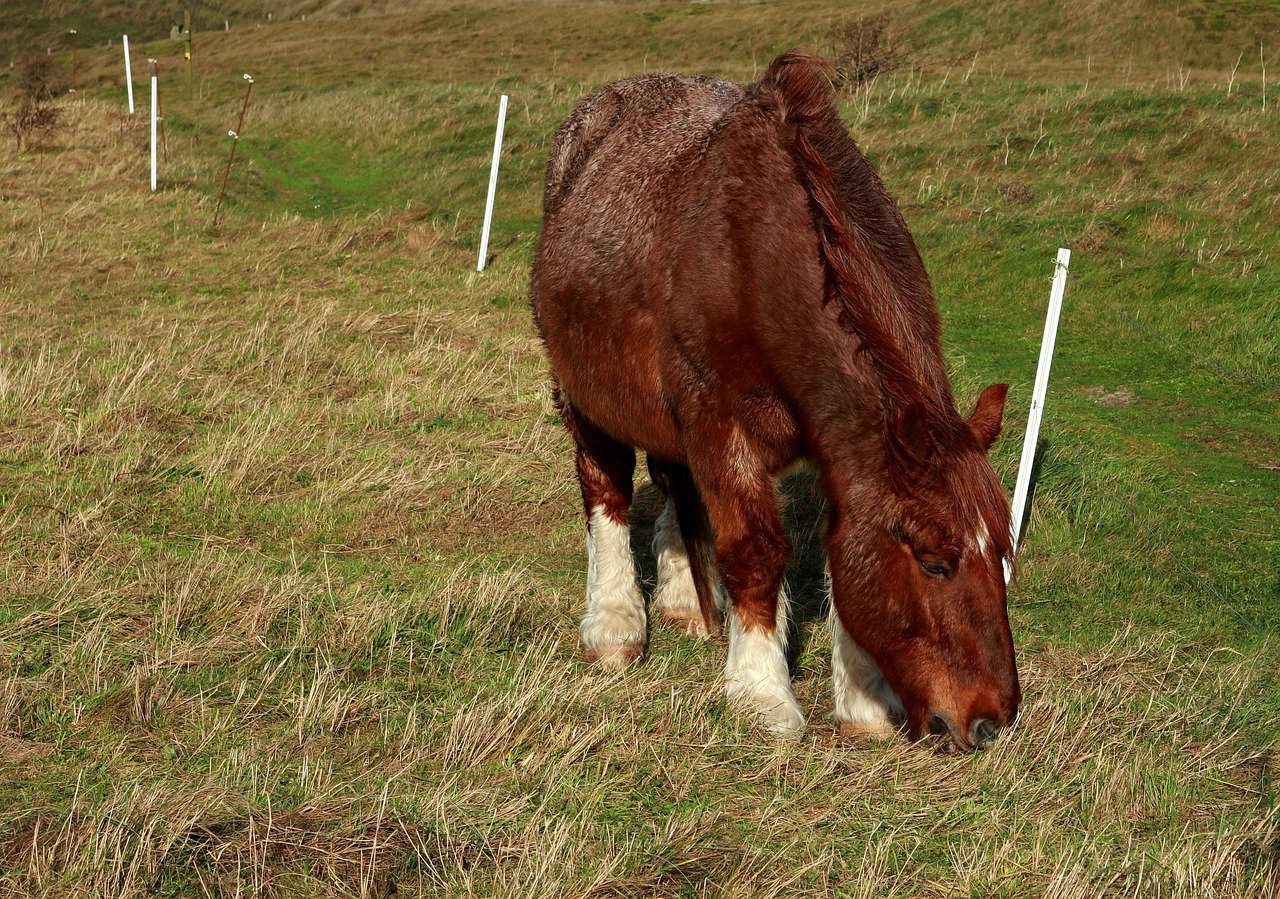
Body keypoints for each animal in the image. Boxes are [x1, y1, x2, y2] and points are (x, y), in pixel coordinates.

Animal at [530, 52, 1020, 750]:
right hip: (585, 392)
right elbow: (755, 552)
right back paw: (615, 622)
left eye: (1003, 553)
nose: (989, 720)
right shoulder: (720, 424)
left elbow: (839, 552)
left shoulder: (834, 451)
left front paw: (863, 702)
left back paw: (684, 598)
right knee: (607, 488)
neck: (756, 257)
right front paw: (761, 693)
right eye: (935, 564)